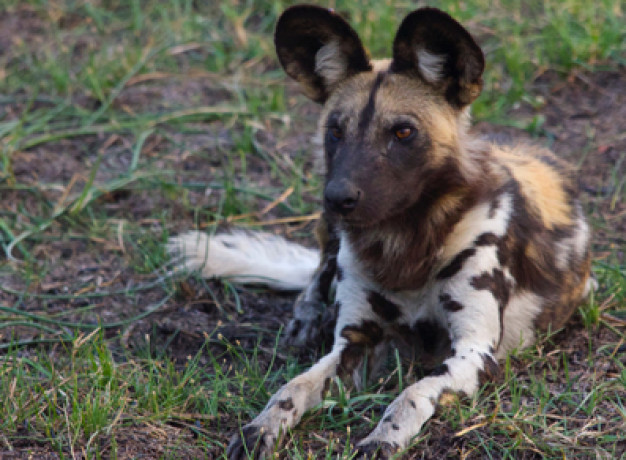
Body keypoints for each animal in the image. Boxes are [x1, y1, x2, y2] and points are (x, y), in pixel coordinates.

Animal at [168, 5, 592, 458]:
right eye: (335, 130)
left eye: (403, 132)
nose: (337, 197)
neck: (403, 243)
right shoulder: (353, 341)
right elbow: (294, 386)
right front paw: (261, 427)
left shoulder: (474, 354)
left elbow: (412, 393)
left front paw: (382, 438)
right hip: (329, 234)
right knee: (318, 274)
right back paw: (306, 318)